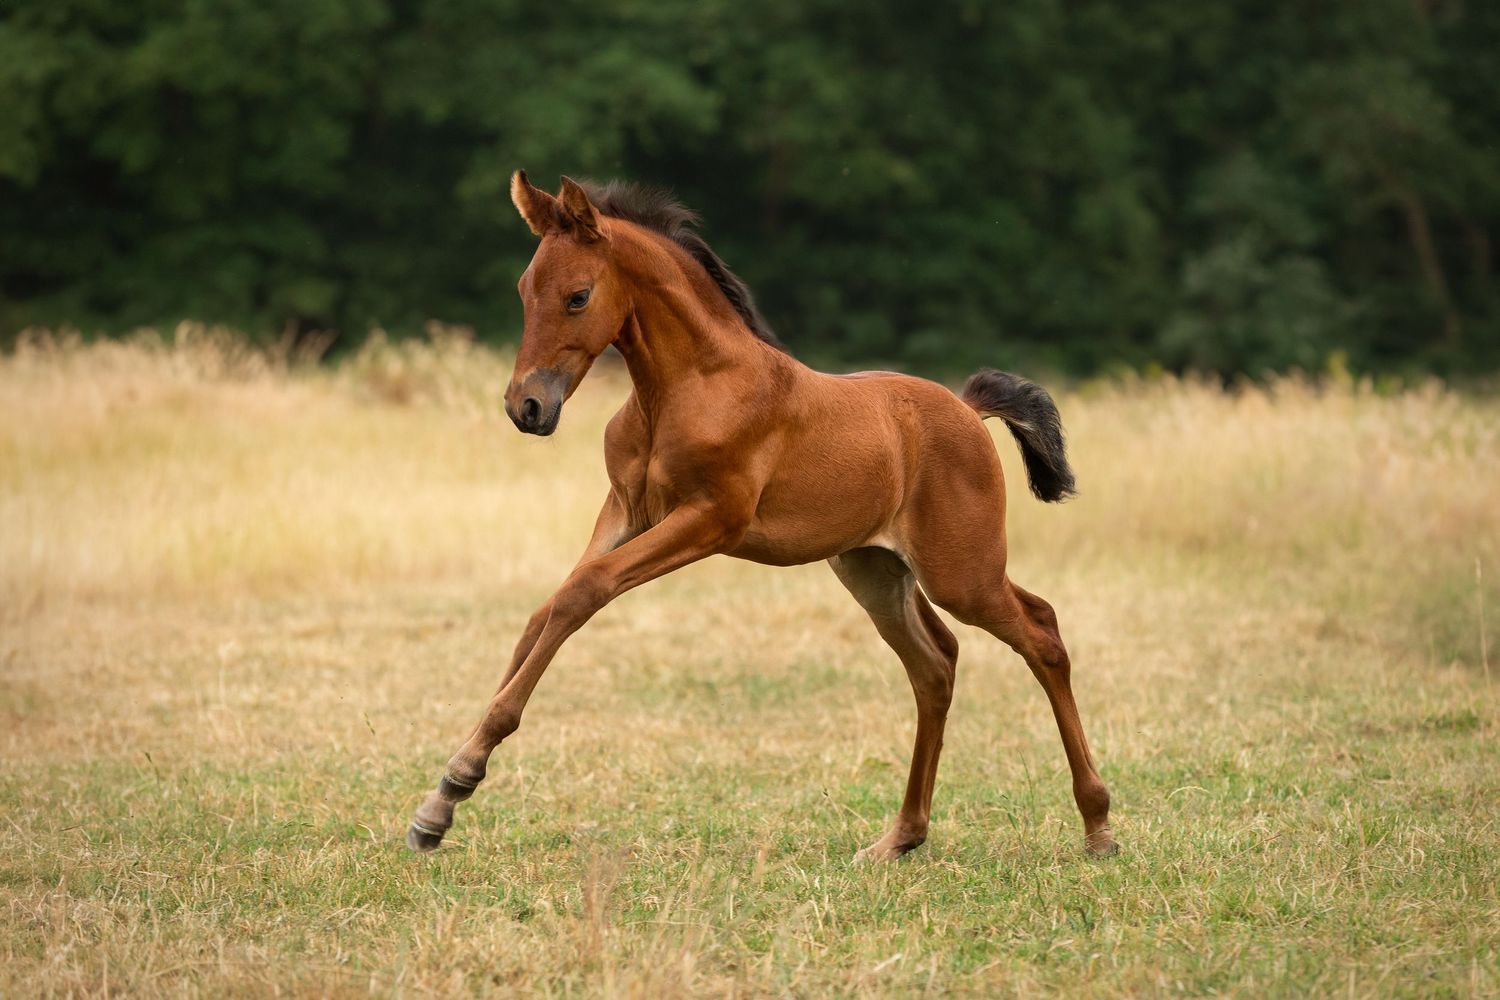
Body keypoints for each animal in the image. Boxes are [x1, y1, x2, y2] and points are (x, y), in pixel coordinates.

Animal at [406, 171, 1117, 862]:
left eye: (578, 296)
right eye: (524, 289)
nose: (526, 406)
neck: (687, 386)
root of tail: (968, 410)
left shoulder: (709, 519)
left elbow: (583, 593)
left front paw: (460, 774)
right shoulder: (626, 509)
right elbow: (544, 613)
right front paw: (440, 804)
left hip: (961, 571)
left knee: (1042, 633)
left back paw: (1098, 826)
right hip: (875, 569)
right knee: (935, 663)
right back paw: (900, 838)